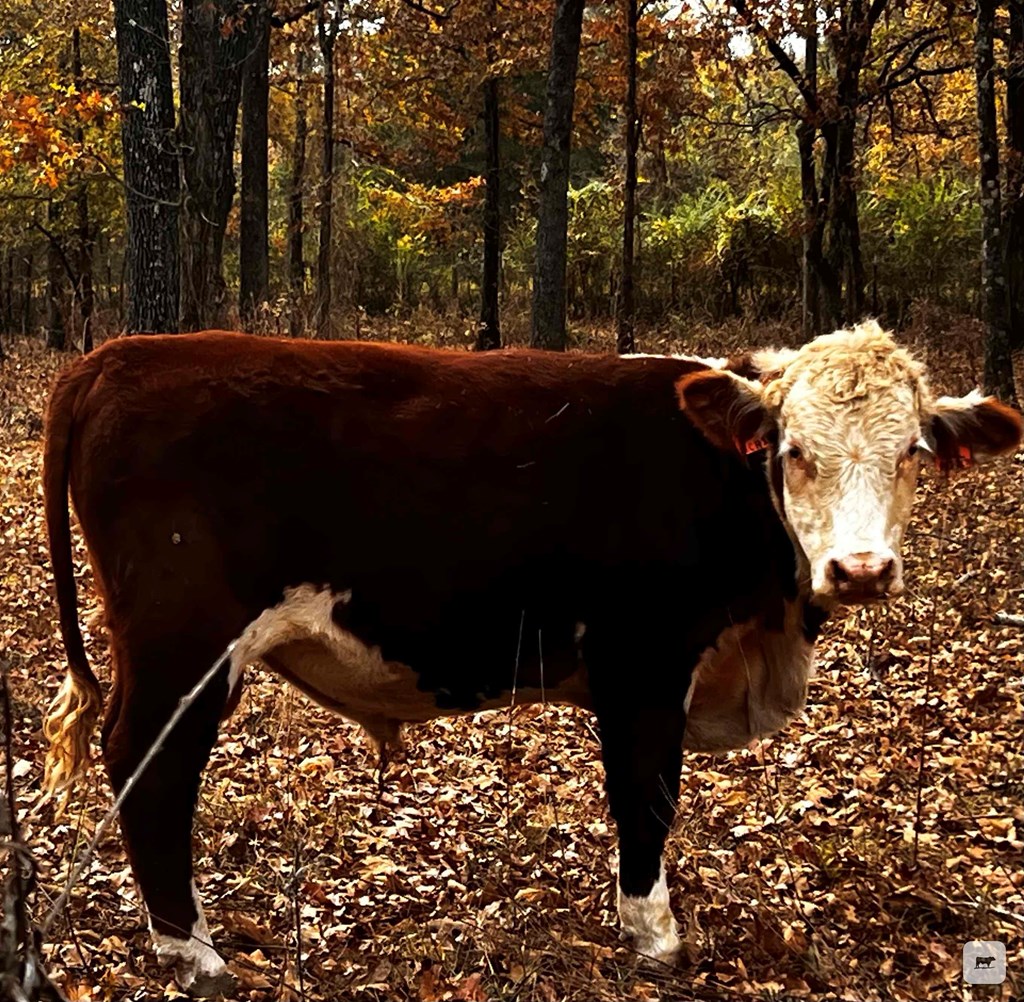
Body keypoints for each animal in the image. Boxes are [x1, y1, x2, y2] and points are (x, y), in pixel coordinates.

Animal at [41, 323, 1015, 994]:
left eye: (912, 453)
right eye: (793, 451)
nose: (861, 569)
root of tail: (115, 358)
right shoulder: (645, 665)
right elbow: (645, 799)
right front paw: (653, 933)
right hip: (184, 648)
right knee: (148, 770)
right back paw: (192, 951)